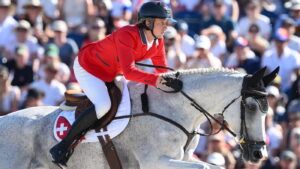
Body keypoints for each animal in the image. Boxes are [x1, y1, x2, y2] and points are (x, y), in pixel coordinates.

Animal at [0, 67, 278, 169]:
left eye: (267, 111)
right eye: (251, 107)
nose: (258, 154)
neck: (176, 108)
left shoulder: (182, 159)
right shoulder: (156, 162)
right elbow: (205, 167)